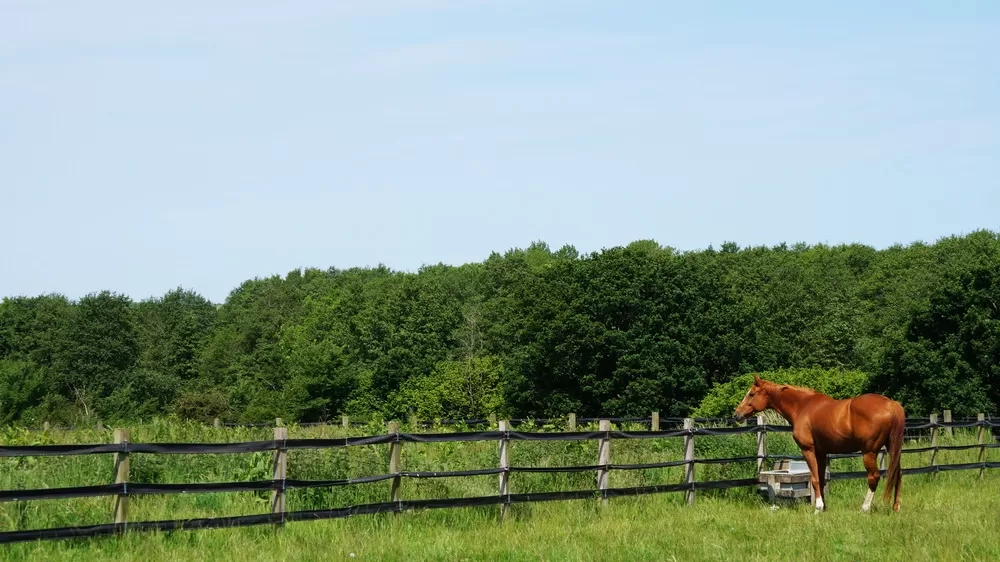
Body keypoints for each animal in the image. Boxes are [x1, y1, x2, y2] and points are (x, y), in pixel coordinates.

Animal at [736, 372, 908, 512]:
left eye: (751, 394)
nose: (736, 414)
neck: (803, 406)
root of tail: (891, 404)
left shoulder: (808, 450)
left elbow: (814, 478)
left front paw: (818, 508)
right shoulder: (821, 452)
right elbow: (821, 477)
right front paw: (824, 507)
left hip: (869, 453)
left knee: (874, 477)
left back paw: (864, 508)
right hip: (892, 448)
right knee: (897, 473)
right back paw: (896, 507)